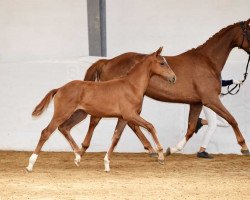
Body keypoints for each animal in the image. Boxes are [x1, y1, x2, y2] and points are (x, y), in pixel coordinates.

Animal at [26, 47, 176, 172]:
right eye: (162, 63)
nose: (173, 78)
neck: (131, 85)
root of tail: (59, 89)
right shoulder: (130, 115)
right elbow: (151, 126)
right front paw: (161, 155)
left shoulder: (123, 118)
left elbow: (115, 138)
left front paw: (106, 164)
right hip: (62, 113)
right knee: (46, 132)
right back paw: (30, 165)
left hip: (80, 114)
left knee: (64, 128)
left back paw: (78, 157)